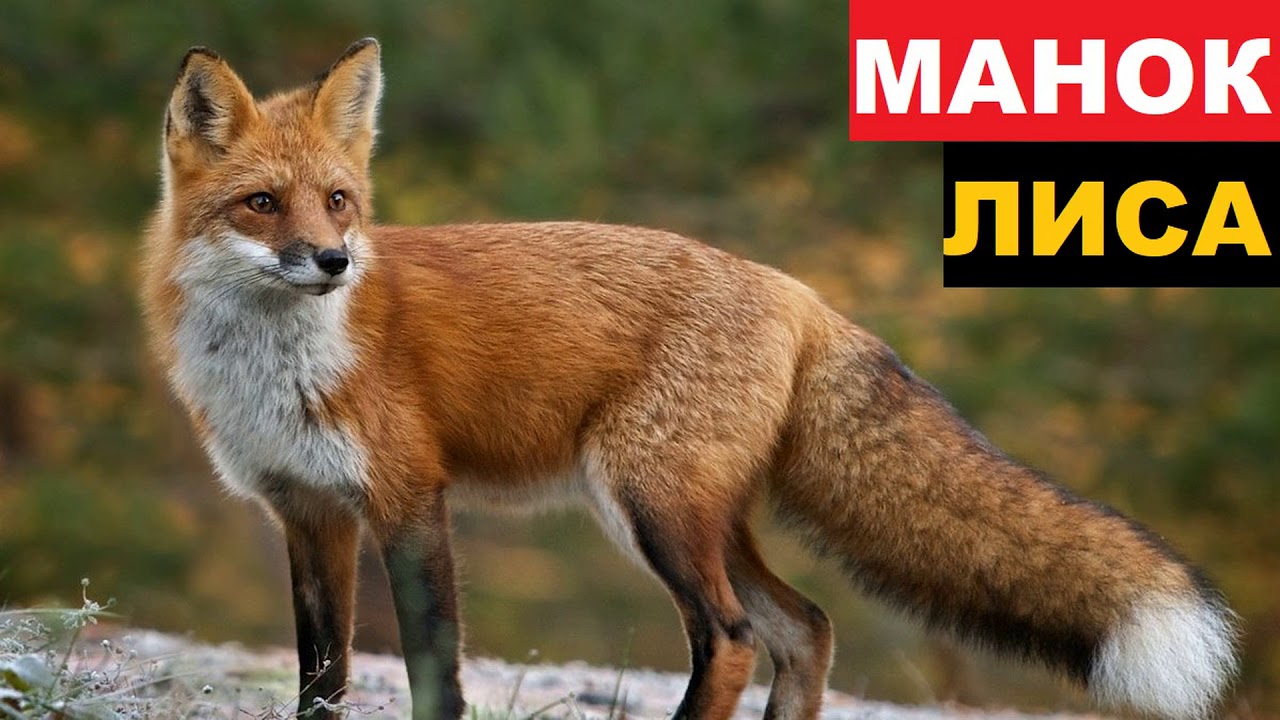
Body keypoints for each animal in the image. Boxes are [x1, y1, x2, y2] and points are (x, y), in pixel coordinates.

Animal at [141, 38, 1239, 720]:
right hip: (691, 515)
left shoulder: (410, 497)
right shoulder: (307, 512)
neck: (280, 367)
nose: (333, 262)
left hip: (653, 508)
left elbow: (432, 672)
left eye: (337, 201)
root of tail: (799, 292)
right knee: (806, 628)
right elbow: (319, 676)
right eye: (262, 203)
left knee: (736, 637)